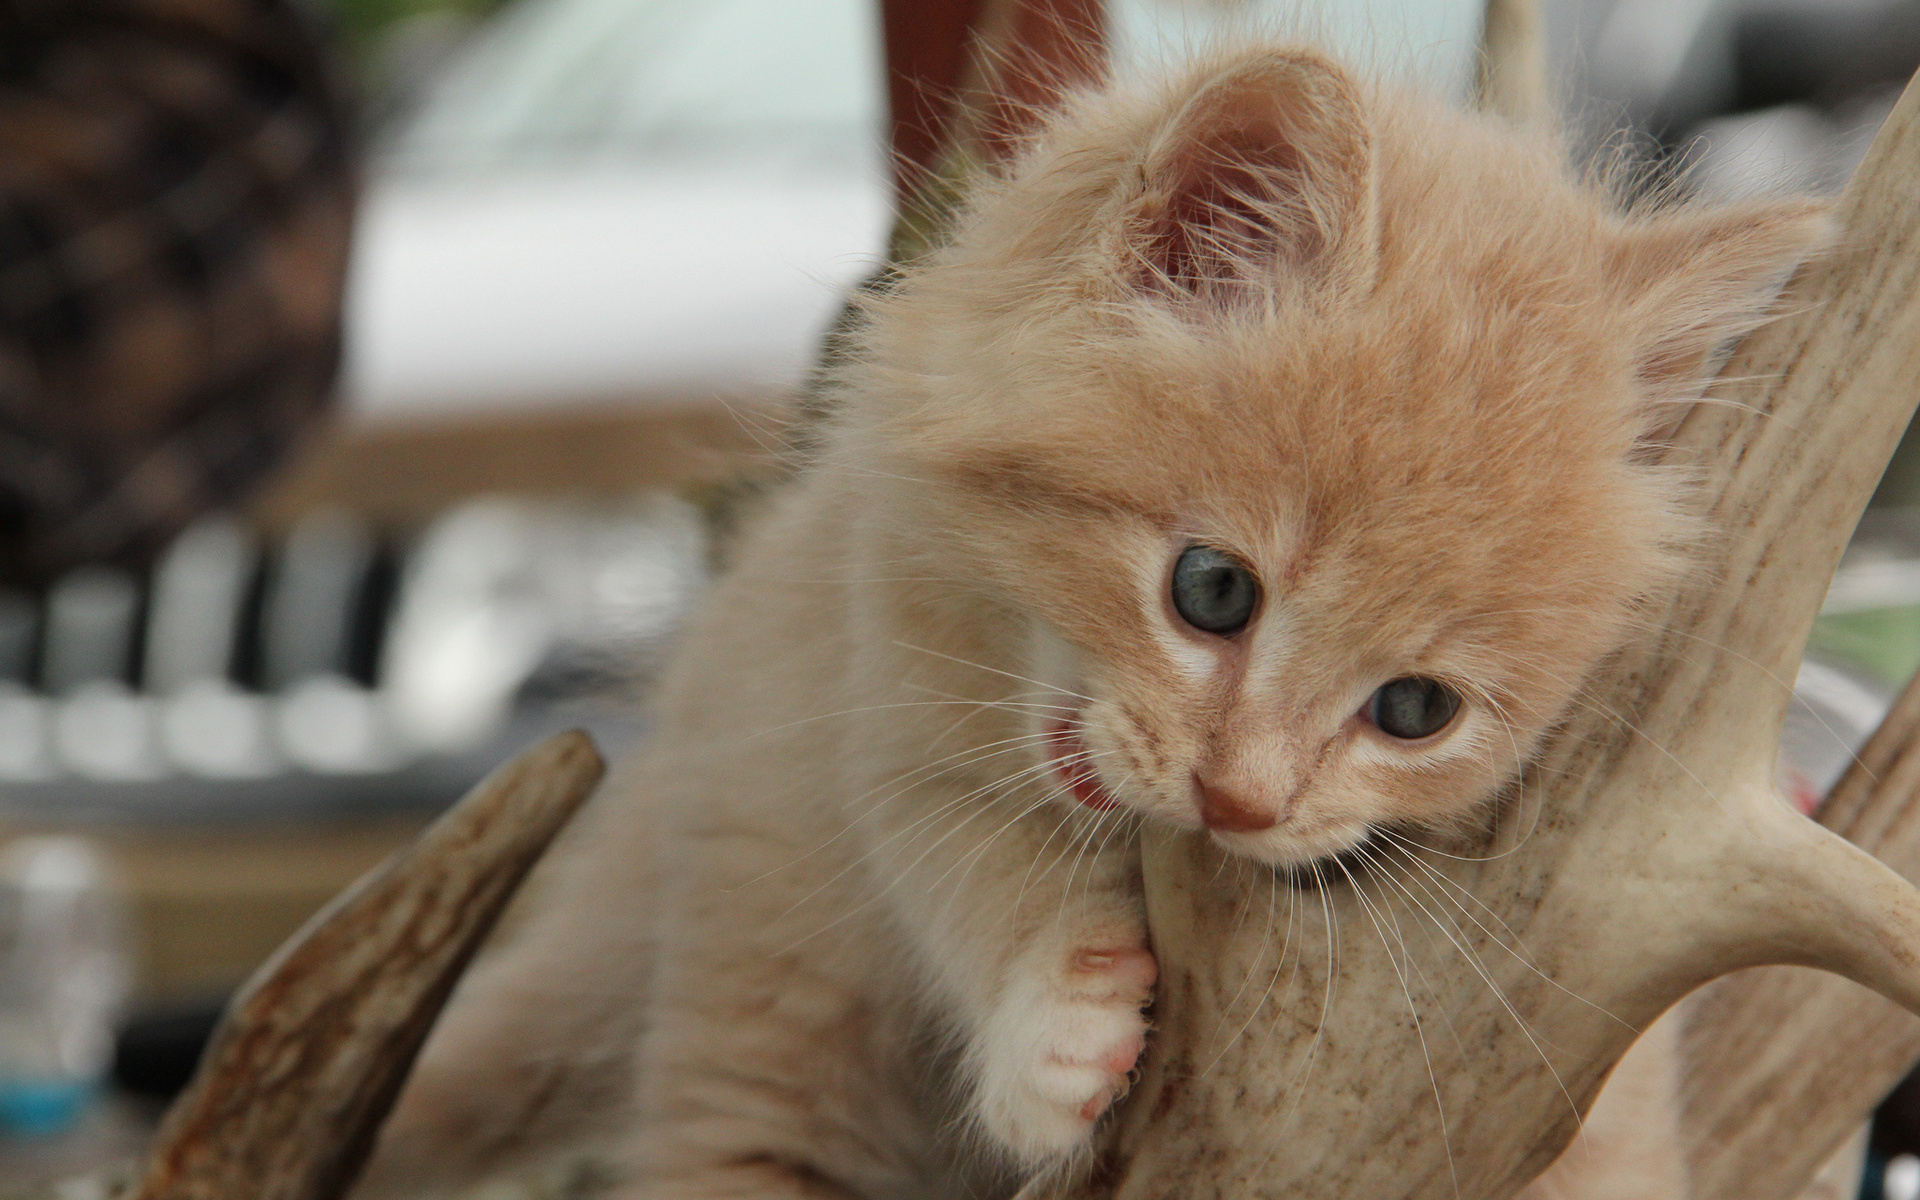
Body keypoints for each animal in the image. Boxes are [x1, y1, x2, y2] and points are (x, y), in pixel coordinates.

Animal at [357, 39, 1827, 1198]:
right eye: (1213, 592)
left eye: (1416, 709)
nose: (1239, 802)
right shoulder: (880, 699)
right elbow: (972, 866)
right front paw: (1053, 1037)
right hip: (754, 991)